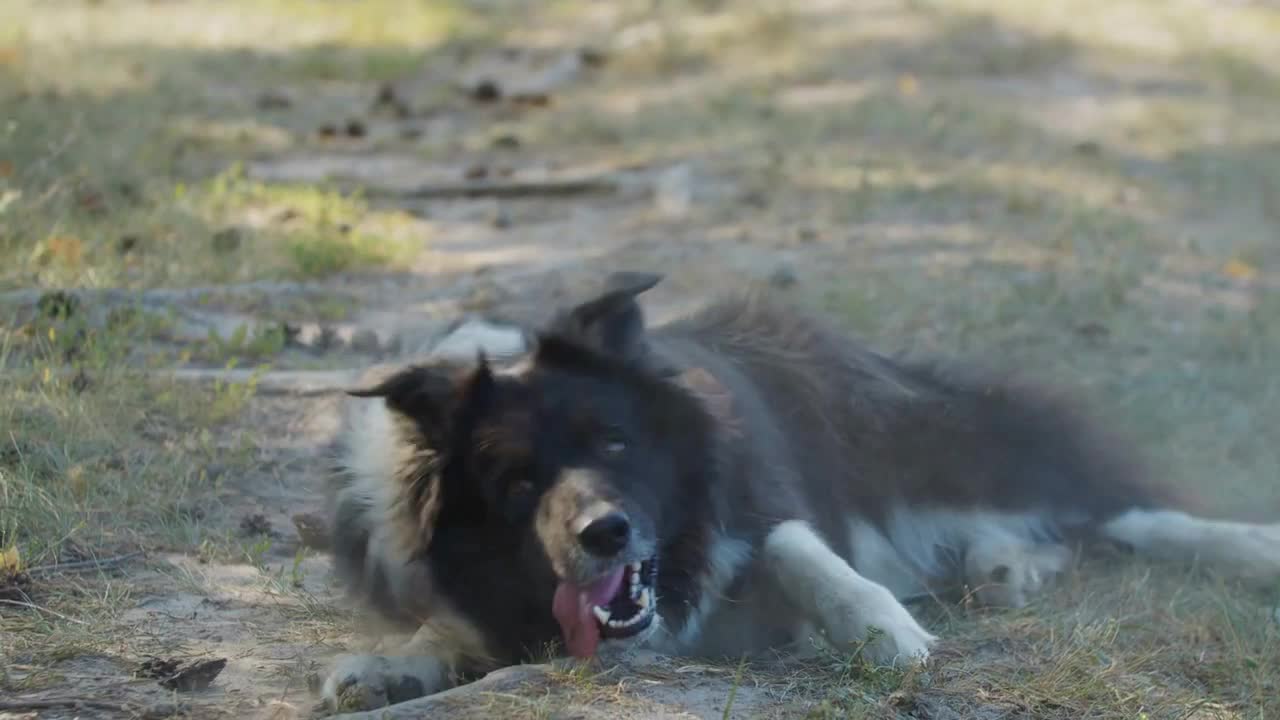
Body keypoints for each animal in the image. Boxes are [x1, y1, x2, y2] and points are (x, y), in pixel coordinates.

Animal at [317, 271, 1280, 707]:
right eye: (516, 482)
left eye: (615, 440)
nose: (605, 535)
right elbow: (447, 629)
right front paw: (383, 665)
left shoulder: (755, 495)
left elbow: (792, 543)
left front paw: (885, 633)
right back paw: (1009, 566)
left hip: (927, 438)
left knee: (1119, 508)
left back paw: (1248, 548)